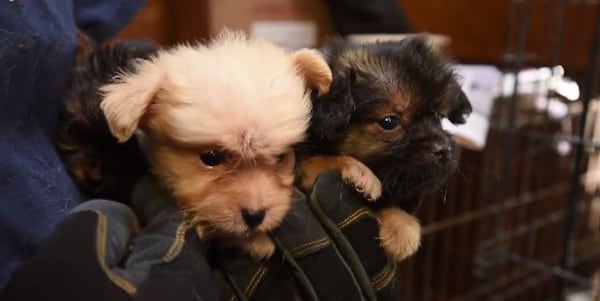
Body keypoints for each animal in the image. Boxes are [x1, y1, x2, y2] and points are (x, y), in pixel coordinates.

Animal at [298, 35, 472, 260]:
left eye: (436, 116)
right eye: (389, 122)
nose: (444, 150)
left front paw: (401, 226)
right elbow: (318, 161)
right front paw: (359, 172)